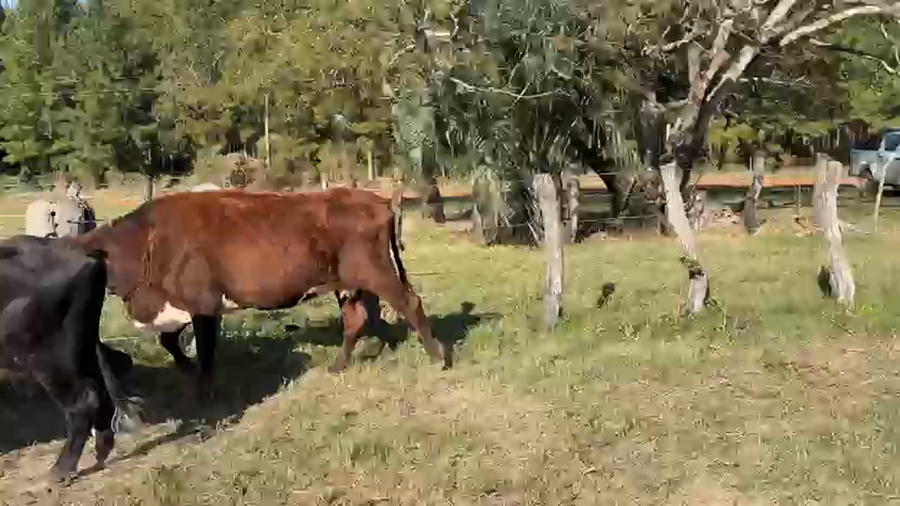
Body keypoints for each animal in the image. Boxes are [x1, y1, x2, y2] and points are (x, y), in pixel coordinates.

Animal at [0, 235, 142, 485]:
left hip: (51, 359)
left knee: (82, 403)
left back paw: (61, 469)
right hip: (81, 352)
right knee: (101, 389)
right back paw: (101, 450)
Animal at [63, 187, 449, 399]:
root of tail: (376, 200)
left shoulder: (203, 303)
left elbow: (205, 353)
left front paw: (206, 392)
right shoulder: (178, 304)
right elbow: (170, 342)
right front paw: (187, 372)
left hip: (377, 273)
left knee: (410, 303)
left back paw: (438, 358)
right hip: (350, 284)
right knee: (358, 320)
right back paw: (338, 366)